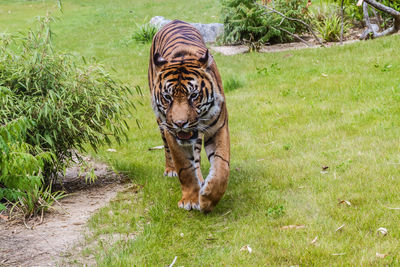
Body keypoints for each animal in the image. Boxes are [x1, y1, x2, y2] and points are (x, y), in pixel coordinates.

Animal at [147, 19, 230, 214]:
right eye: (167, 97)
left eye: (193, 96)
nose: (180, 123)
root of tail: (174, 20)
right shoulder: (171, 132)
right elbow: (184, 167)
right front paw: (191, 199)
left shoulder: (219, 127)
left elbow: (222, 165)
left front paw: (208, 198)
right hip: (161, 124)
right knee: (168, 150)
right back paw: (171, 170)